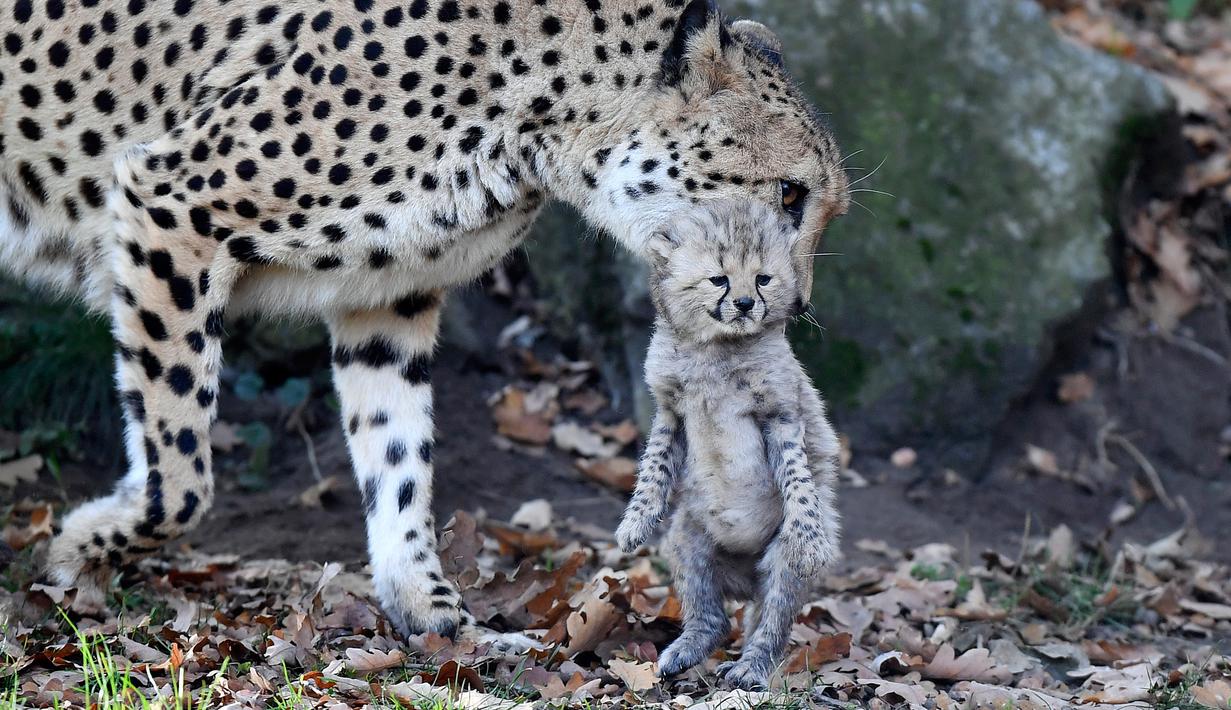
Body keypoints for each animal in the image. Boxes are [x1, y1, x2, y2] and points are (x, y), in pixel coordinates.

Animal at [614, 199, 842, 690]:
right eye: (719, 278)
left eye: (763, 278)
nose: (744, 303)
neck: (717, 348)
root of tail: (744, 580)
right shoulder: (670, 413)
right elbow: (653, 469)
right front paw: (635, 522)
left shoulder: (781, 416)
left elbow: (800, 481)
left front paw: (811, 536)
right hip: (687, 535)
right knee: (714, 619)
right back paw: (685, 650)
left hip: (777, 561)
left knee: (769, 626)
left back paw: (749, 668)